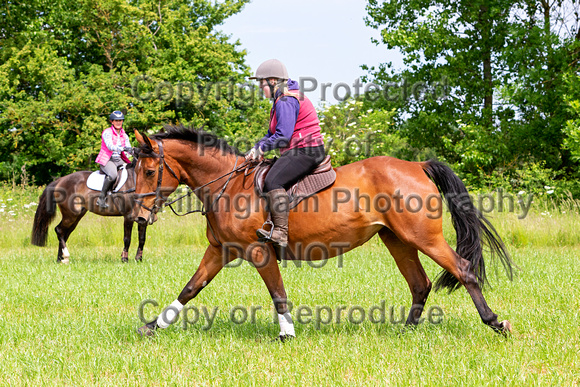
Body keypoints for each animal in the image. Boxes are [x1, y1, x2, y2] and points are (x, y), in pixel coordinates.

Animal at [131, 126, 512, 340]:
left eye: (149, 171)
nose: (139, 215)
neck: (228, 185)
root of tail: (417, 165)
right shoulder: (220, 250)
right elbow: (190, 288)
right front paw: (153, 326)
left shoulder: (258, 251)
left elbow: (278, 294)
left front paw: (286, 334)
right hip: (397, 239)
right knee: (420, 283)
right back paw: (405, 331)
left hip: (423, 238)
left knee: (463, 270)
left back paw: (495, 323)